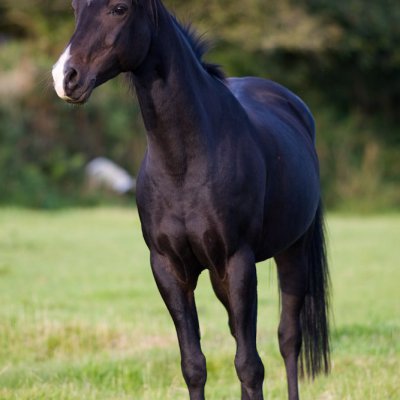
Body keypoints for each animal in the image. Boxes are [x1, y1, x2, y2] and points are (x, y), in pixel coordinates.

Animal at [51, 1, 330, 398]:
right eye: (75, 8)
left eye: (119, 9)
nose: (65, 77)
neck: (185, 163)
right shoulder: (168, 268)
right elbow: (194, 365)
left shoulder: (238, 262)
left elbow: (250, 366)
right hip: (220, 276)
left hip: (292, 252)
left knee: (288, 340)